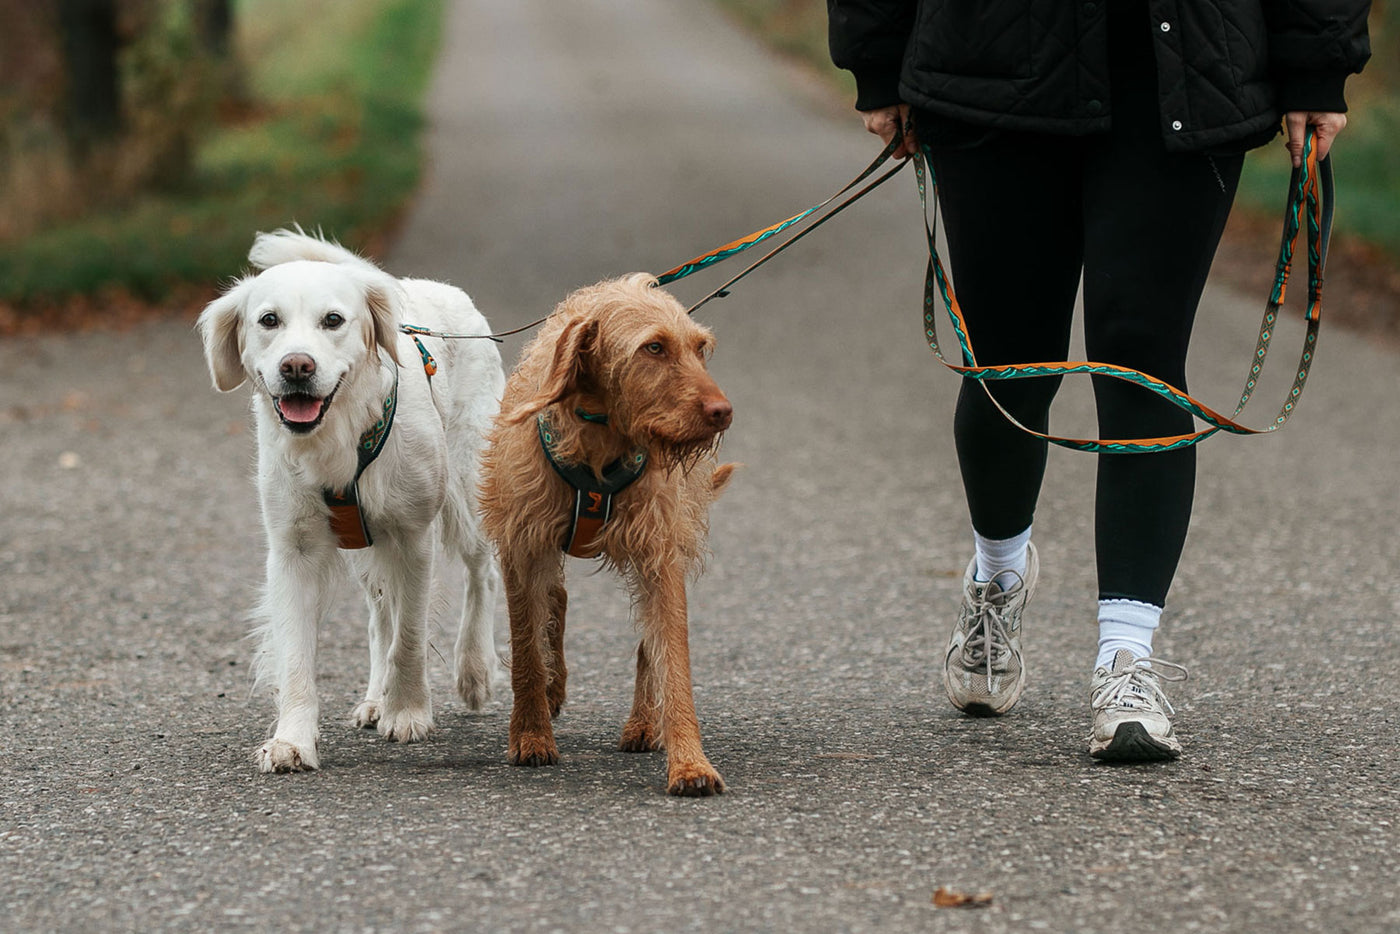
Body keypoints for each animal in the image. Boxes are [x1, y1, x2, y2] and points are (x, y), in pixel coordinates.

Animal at [197, 228, 504, 772]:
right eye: (269, 320)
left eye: (333, 320)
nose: (297, 366)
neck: (338, 435)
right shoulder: (294, 549)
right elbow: (299, 658)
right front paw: (293, 739)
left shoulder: (412, 538)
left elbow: (409, 637)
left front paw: (408, 713)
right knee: (380, 617)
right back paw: (376, 696)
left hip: (467, 490)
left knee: (480, 573)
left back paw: (474, 671)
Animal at [481, 275, 739, 795]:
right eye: (654, 347)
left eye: (699, 348)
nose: (722, 411)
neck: (599, 434)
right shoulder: (523, 546)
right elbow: (525, 650)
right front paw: (532, 733)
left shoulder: (661, 554)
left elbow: (671, 657)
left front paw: (690, 761)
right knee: (553, 601)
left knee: (644, 642)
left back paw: (643, 722)